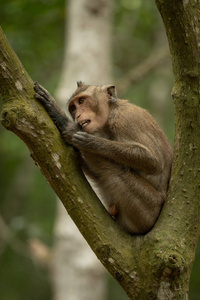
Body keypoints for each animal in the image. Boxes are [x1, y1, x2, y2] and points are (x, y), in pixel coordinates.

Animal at [33, 81, 173, 234]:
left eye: (81, 101)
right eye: (73, 108)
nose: (77, 115)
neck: (111, 113)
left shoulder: (125, 120)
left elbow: (153, 161)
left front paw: (81, 136)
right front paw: (57, 113)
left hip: (148, 209)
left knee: (113, 170)